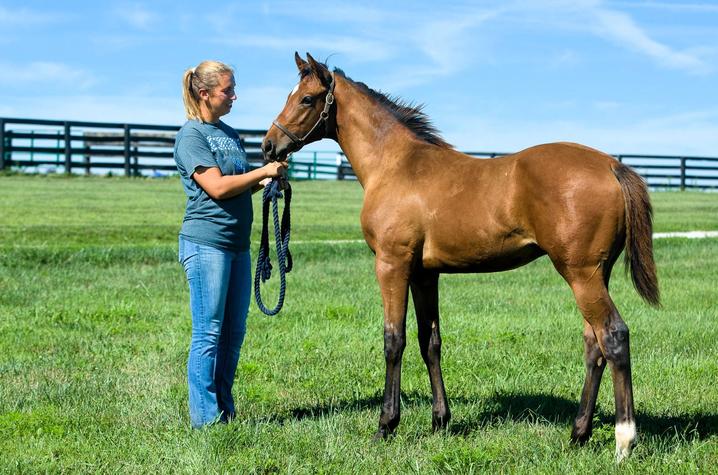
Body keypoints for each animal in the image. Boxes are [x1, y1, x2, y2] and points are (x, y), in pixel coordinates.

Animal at [262, 54, 660, 462]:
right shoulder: (424, 274)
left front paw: (386, 426)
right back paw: (578, 434)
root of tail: (612, 166)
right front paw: (440, 421)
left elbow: (394, 340)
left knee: (613, 336)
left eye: (307, 98)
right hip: (595, 274)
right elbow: (429, 340)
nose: (269, 146)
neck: (395, 165)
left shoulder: (392, 264)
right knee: (594, 344)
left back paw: (624, 440)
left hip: (581, 274)